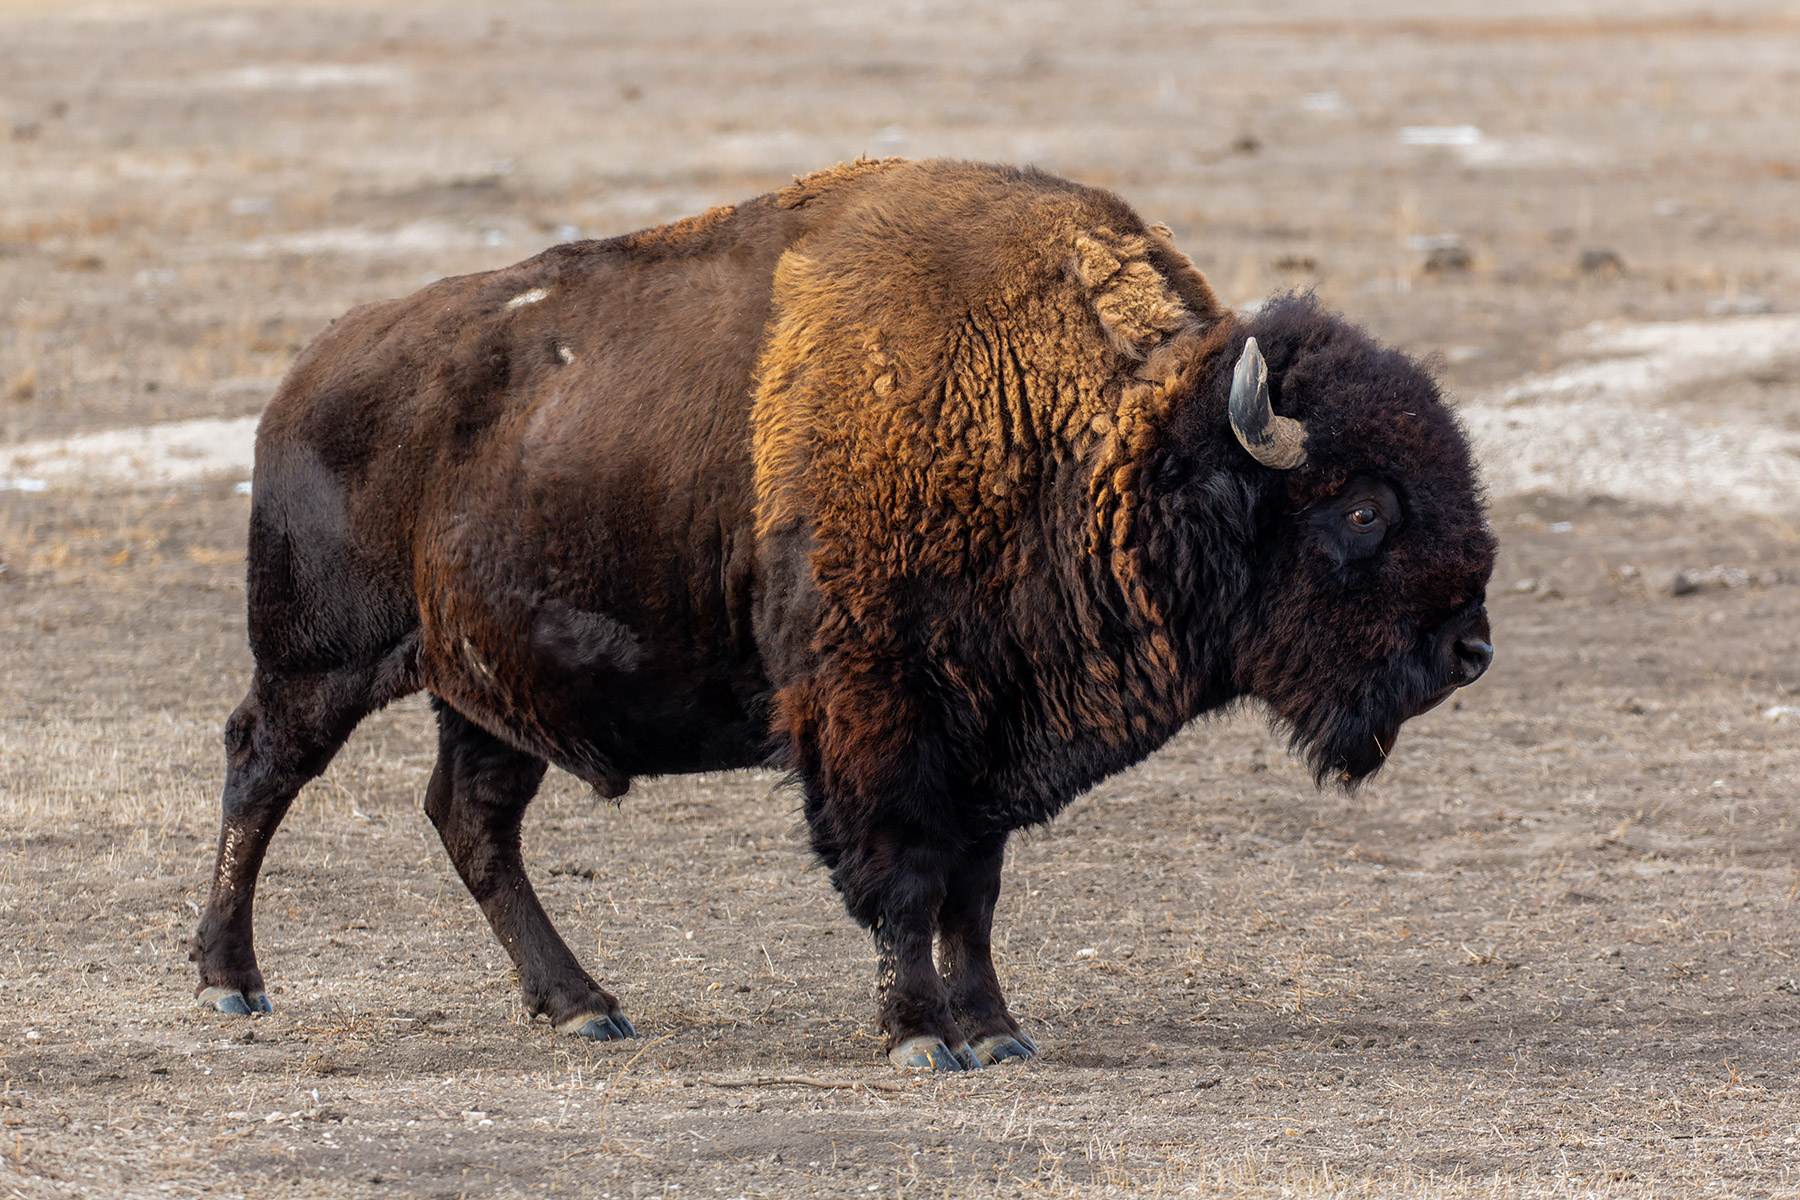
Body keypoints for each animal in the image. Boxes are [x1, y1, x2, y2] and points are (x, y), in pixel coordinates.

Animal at [191, 158, 1495, 1071]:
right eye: (1364, 508)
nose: (1470, 649)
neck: (1094, 440)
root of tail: (305, 375)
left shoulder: (985, 736)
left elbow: (974, 894)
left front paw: (998, 1029)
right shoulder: (880, 719)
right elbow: (904, 882)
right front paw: (920, 1037)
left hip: (489, 694)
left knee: (472, 822)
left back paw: (585, 1008)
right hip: (320, 660)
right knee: (261, 770)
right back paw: (229, 981)